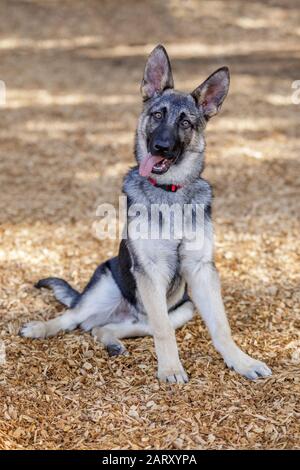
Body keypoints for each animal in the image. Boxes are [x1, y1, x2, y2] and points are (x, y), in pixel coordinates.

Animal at [20, 44, 272, 384]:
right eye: (157, 115)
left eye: (185, 123)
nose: (160, 146)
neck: (169, 192)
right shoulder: (149, 272)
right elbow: (163, 332)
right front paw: (170, 369)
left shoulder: (202, 271)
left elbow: (220, 326)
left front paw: (241, 361)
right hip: (105, 287)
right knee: (74, 318)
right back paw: (40, 328)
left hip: (183, 309)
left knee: (105, 327)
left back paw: (111, 341)